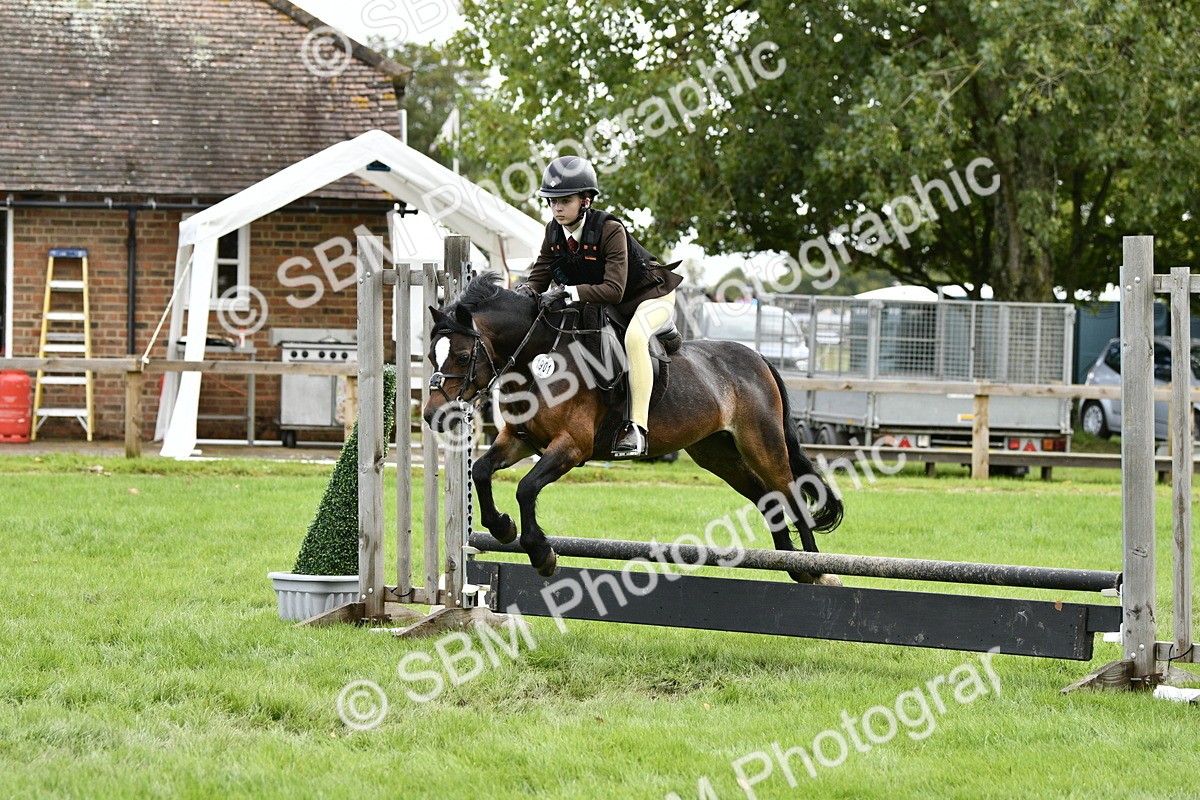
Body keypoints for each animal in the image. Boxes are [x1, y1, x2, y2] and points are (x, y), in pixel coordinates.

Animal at [423, 273, 844, 585]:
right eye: (430, 355)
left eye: (462, 355)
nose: (432, 416)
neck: (538, 356)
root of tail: (758, 358)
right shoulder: (519, 440)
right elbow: (481, 471)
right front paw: (503, 529)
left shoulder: (571, 446)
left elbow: (527, 488)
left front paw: (542, 554)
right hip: (717, 453)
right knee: (766, 497)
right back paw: (790, 562)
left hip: (761, 443)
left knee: (790, 493)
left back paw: (817, 570)